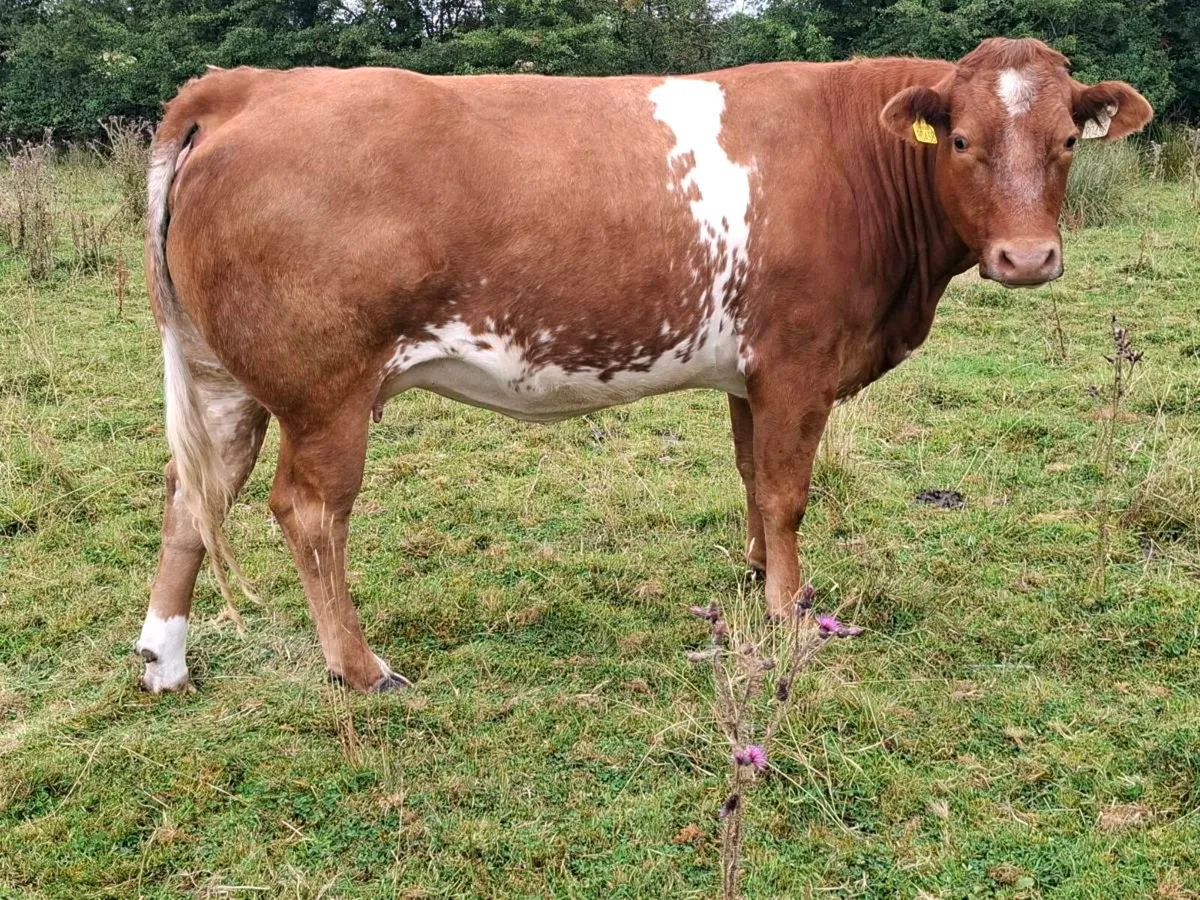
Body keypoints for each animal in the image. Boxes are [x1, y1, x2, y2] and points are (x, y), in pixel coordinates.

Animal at [134, 37, 1151, 693]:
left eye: (1066, 141)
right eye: (966, 141)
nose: (1028, 257)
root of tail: (247, 87)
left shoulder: (751, 372)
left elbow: (752, 480)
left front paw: (758, 577)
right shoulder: (798, 360)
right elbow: (788, 488)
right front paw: (788, 612)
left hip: (224, 380)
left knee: (192, 496)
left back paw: (163, 663)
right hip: (327, 389)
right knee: (307, 512)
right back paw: (359, 668)